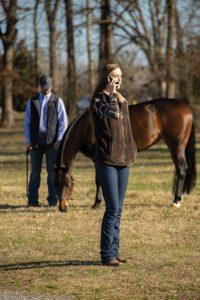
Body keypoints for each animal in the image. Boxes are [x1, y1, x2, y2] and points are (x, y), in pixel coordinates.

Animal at [54, 98, 195, 211]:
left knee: (182, 169)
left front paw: (97, 204)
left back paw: (176, 201)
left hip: (176, 145)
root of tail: (186, 107)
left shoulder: (97, 158)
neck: (88, 126)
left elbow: (99, 180)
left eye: (67, 184)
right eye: (56, 184)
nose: (62, 207)